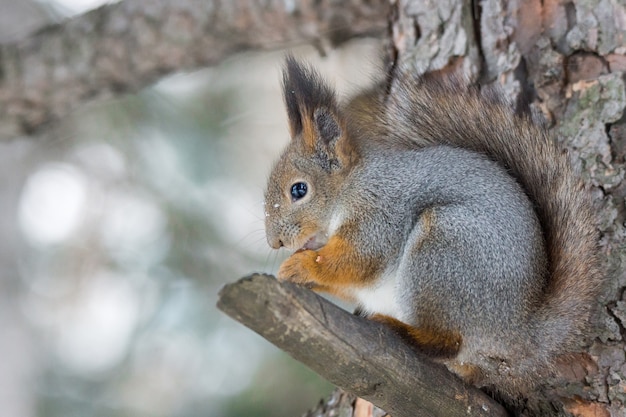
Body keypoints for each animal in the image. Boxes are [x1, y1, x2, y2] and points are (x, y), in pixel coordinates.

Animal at [262, 56, 600, 400]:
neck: (351, 186)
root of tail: (518, 332)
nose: (275, 243)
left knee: (449, 341)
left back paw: (406, 332)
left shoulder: (379, 212)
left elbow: (360, 259)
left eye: (299, 190)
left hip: (443, 250)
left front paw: (302, 265)